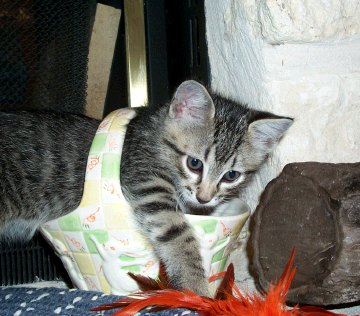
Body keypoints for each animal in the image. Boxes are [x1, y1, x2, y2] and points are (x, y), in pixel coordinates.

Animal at [0, 79, 292, 296]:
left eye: (231, 175)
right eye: (194, 163)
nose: (204, 197)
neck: (156, 140)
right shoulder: (147, 182)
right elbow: (178, 234)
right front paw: (196, 289)